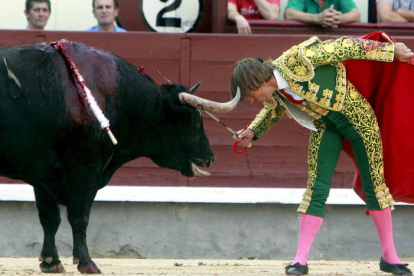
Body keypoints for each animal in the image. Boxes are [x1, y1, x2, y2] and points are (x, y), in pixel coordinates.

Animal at [0, 41, 234, 274]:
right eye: (194, 121)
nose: (210, 157)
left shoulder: (44, 173)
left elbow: (50, 218)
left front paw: (51, 262)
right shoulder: (85, 170)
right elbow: (79, 216)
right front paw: (87, 263)